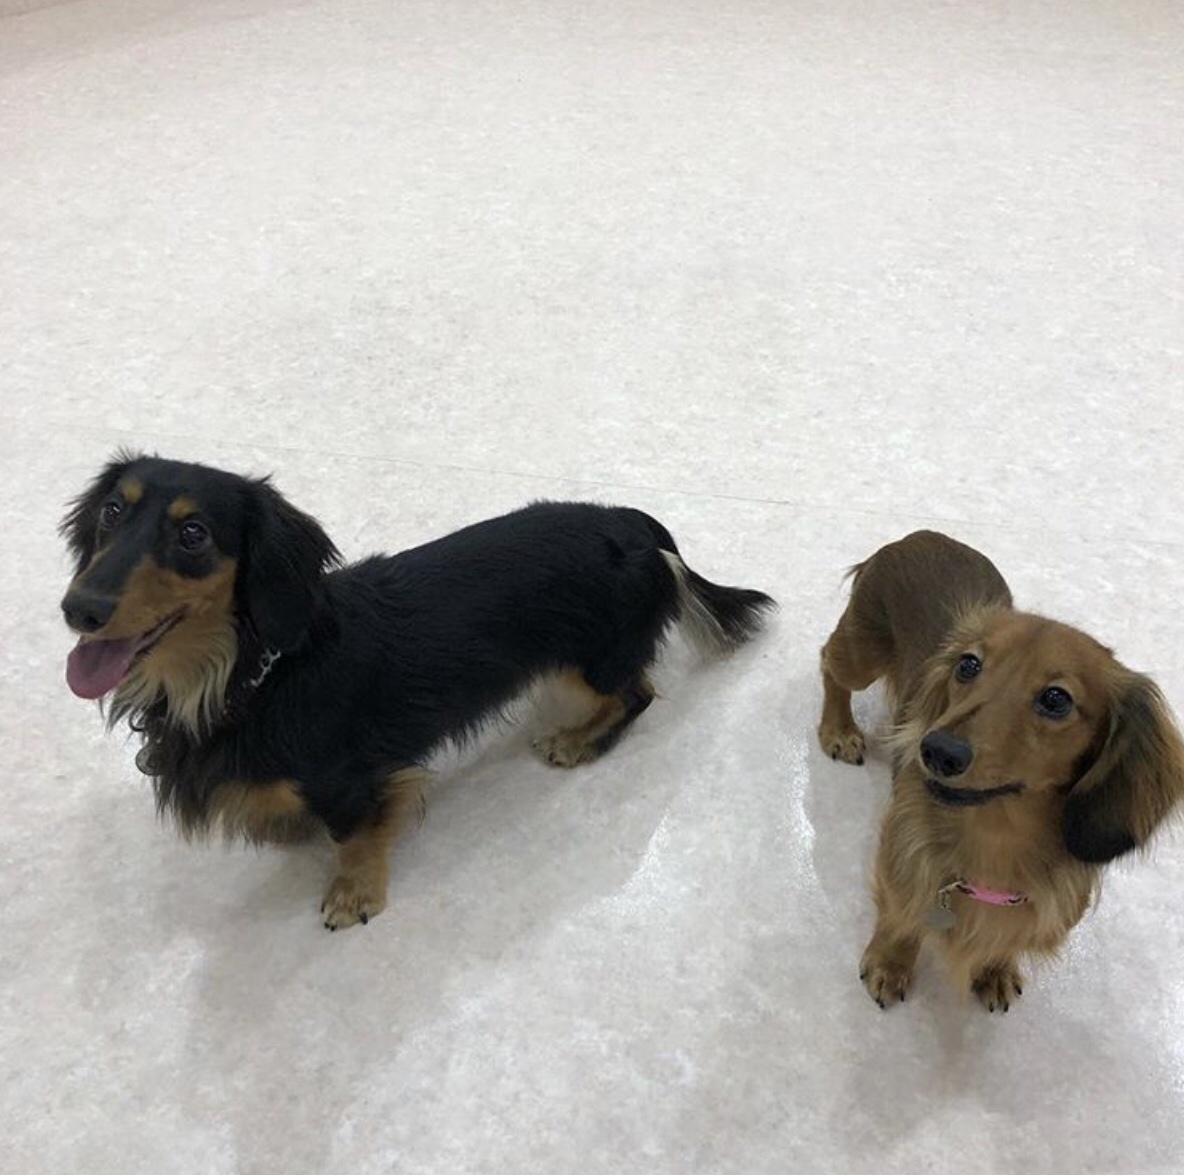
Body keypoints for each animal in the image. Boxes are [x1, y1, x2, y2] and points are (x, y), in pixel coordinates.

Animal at [60, 452, 775, 929]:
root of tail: (633, 525)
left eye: (193, 534)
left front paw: (354, 895)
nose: (78, 608)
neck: (256, 672)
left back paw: (577, 742)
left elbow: (353, 837)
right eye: (112, 512)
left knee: (635, 695)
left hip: (588, 662)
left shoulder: (354, 781)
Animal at [818, 530, 1184, 1012]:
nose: (936, 751)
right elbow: (900, 918)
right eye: (968, 665)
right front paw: (889, 965)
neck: (996, 840)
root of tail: (918, 535)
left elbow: (1004, 943)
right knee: (829, 663)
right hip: (861, 653)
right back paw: (839, 730)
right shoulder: (902, 863)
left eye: (1056, 698)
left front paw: (994, 971)